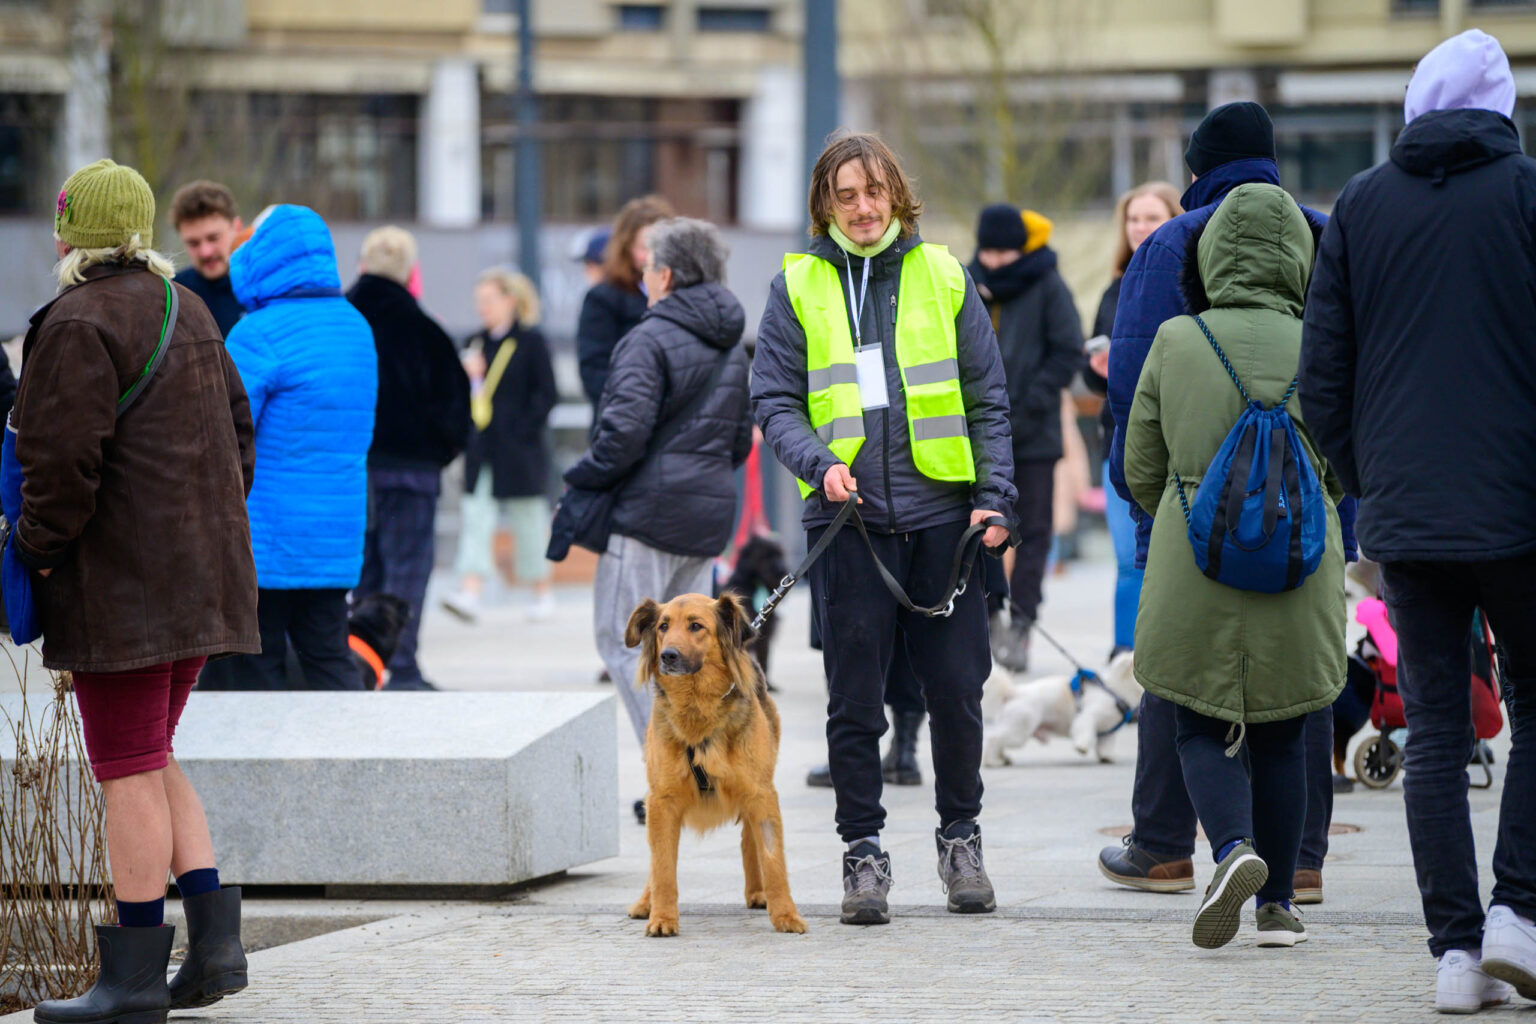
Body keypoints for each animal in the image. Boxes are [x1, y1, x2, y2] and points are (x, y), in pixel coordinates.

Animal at [623, 592, 811, 939]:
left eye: (696, 626)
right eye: (663, 627)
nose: (667, 656)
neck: (697, 707)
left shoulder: (761, 793)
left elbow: (773, 859)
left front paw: (786, 915)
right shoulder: (662, 800)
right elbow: (662, 866)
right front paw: (662, 918)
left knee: (749, 840)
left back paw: (758, 893)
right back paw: (645, 902)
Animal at [721, 537, 792, 687]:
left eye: (781, 555)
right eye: (764, 556)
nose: (781, 569)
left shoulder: (764, 636)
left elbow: (765, 660)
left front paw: (767, 684)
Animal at [983, 654, 1142, 764]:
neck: (1116, 690)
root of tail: (1013, 693)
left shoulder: (1107, 732)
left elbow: (1105, 745)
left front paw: (1107, 757)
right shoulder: (1088, 717)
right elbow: (1085, 732)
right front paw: (1082, 747)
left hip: (1012, 728)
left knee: (999, 741)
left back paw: (1003, 758)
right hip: (1019, 732)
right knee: (993, 739)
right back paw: (992, 761)